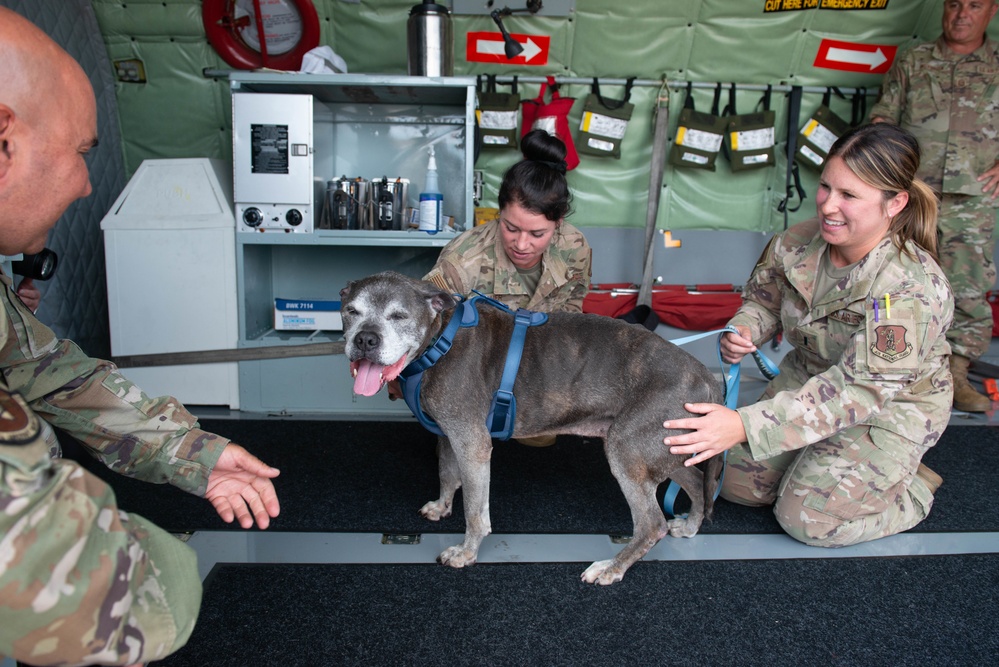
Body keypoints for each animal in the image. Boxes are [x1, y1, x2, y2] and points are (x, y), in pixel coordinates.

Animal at [340, 270, 724, 584]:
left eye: (398, 316)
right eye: (351, 311)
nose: (365, 340)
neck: (438, 341)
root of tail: (702, 373)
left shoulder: (472, 444)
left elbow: (476, 512)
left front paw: (466, 553)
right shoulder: (450, 436)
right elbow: (447, 473)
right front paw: (441, 505)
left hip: (627, 451)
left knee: (650, 524)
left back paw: (612, 568)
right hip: (662, 446)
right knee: (696, 480)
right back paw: (689, 526)